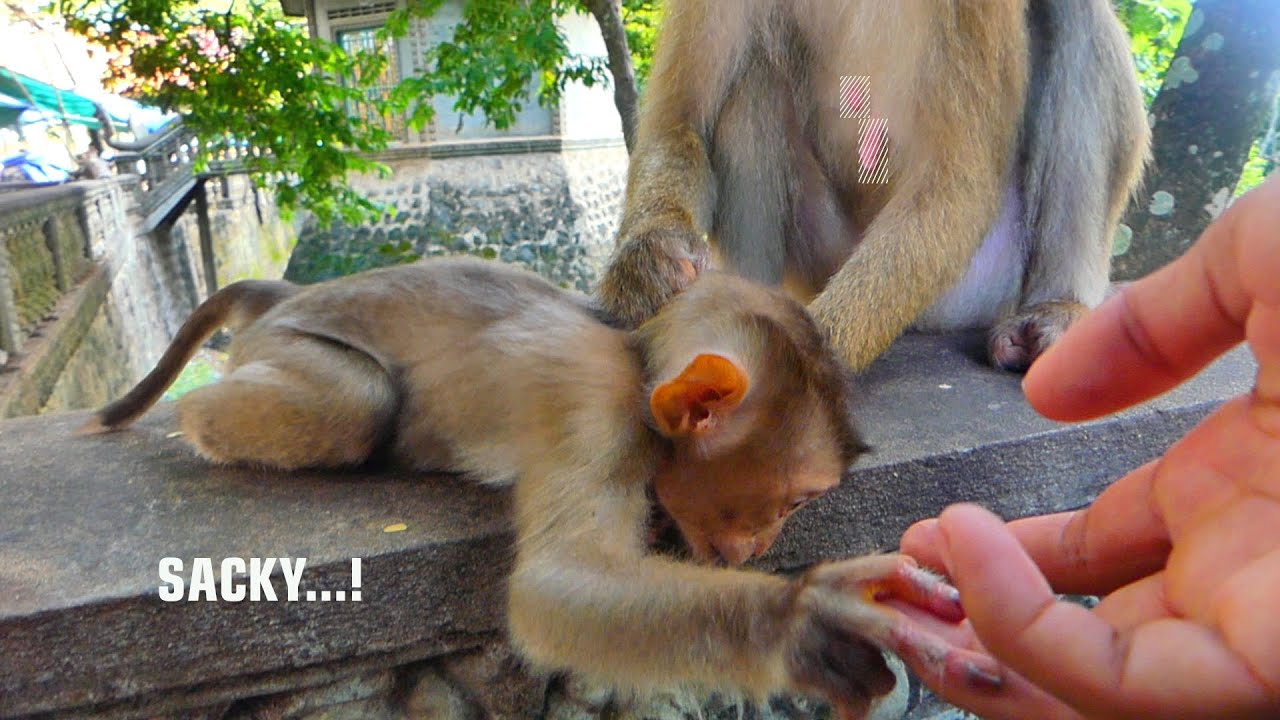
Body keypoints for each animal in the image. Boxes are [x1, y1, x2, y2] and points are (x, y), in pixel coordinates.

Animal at [86, 257, 1001, 717]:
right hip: (292, 351)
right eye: (798, 497)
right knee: (355, 404)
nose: (769, 540)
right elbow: (557, 586)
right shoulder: (589, 406)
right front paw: (806, 616)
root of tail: (291, 293)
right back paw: (188, 416)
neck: (632, 361)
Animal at [595, 0, 1149, 372]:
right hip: (824, 257)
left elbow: (958, 177)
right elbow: (680, 120)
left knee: (1076, 12)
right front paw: (648, 263)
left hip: (978, 281)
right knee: (754, 92)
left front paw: (806, 364)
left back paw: (1058, 310)